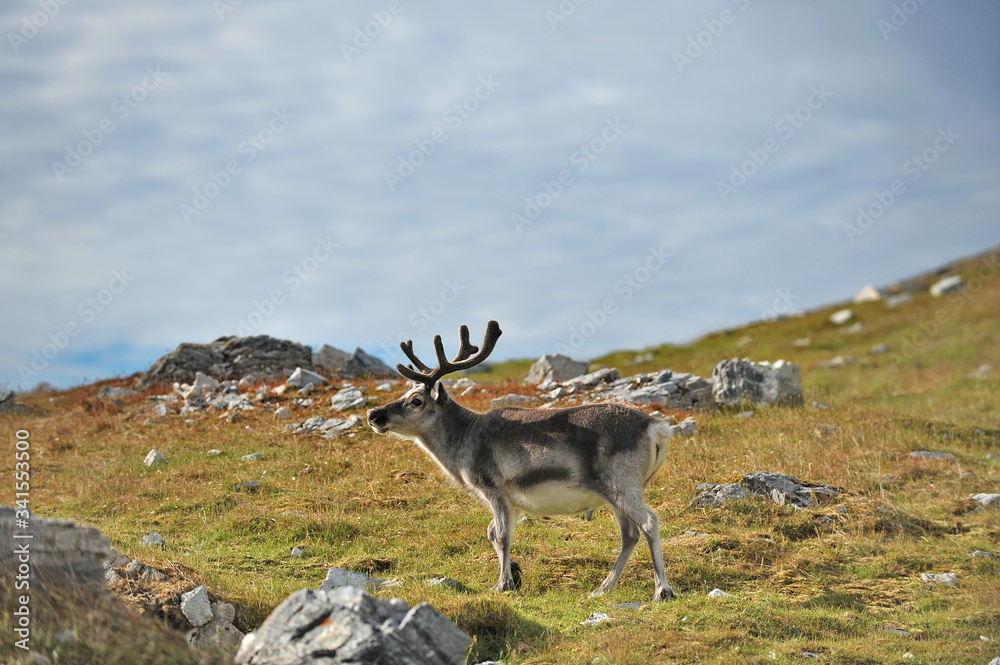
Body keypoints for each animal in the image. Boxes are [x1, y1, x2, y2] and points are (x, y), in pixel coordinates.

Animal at [366, 320, 676, 601]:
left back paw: (662, 589)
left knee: (649, 522)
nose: (373, 414)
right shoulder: (511, 501)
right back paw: (602, 589)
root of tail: (655, 427)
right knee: (630, 534)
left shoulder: (494, 488)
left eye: (416, 400)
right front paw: (514, 574)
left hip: (620, 485)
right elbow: (492, 533)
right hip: (616, 493)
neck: (463, 437)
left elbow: (501, 535)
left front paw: (501, 584)